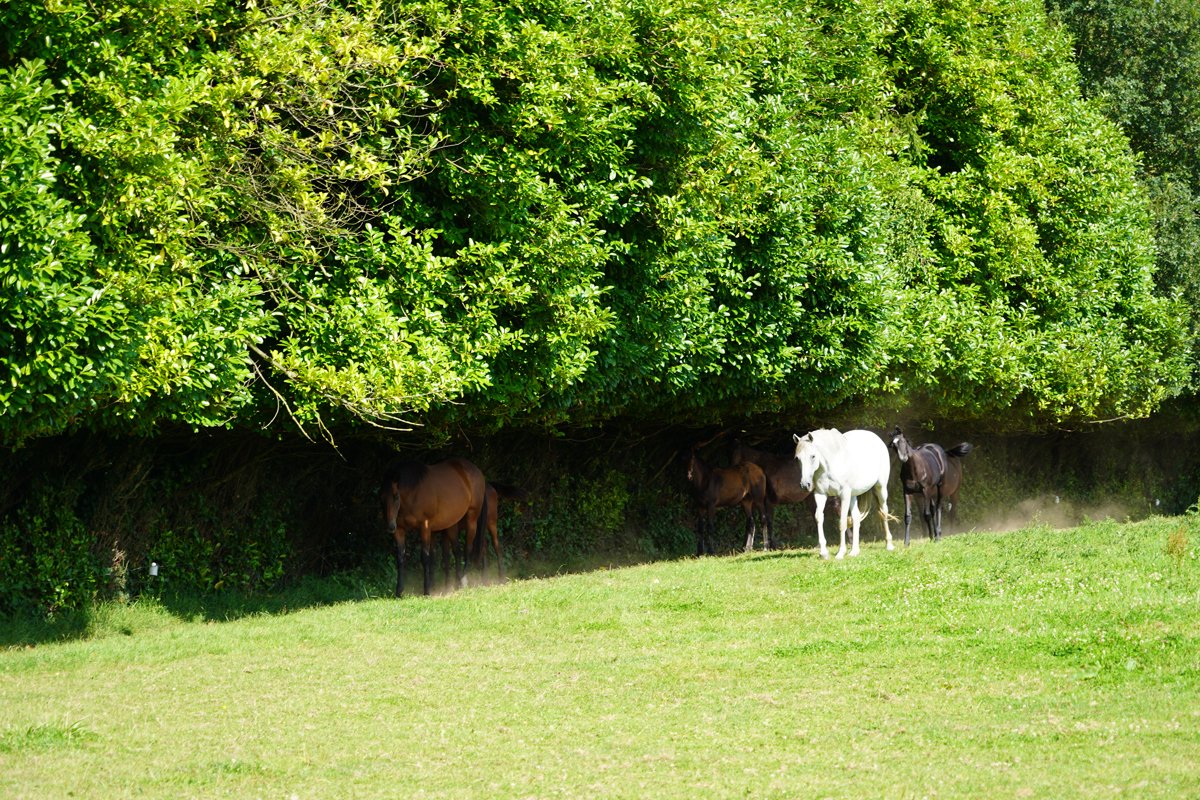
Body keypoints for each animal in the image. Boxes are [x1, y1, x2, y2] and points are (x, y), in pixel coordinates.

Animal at [380, 458, 489, 597]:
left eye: (396, 496)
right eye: (381, 497)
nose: (390, 526)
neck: (413, 493)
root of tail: (477, 472)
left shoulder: (425, 527)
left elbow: (425, 557)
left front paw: (427, 590)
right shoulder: (399, 530)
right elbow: (400, 558)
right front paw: (399, 591)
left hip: (472, 519)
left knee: (468, 549)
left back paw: (464, 580)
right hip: (452, 525)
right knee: (458, 551)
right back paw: (460, 582)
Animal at [792, 428, 894, 559]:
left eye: (813, 456)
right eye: (797, 458)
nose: (805, 485)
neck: (830, 465)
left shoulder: (844, 496)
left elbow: (842, 522)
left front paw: (840, 553)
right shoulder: (820, 495)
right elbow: (819, 517)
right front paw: (823, 553)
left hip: (880, 488)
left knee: (884, 512)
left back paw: (889, 545)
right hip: (853, 495)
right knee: (856, 517)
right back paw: (854, 551)